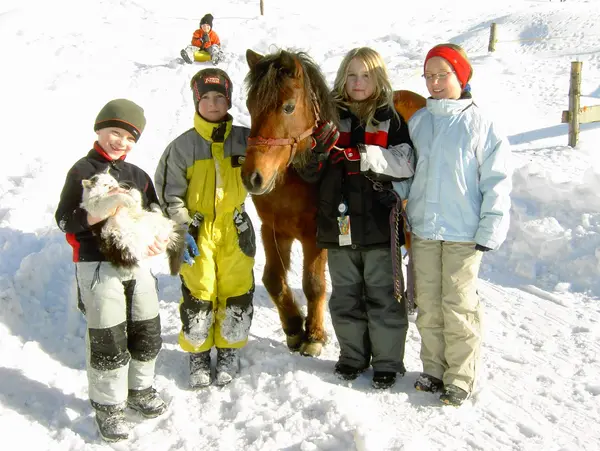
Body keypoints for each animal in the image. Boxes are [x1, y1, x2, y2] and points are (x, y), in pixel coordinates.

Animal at [243, 49, 338, 358]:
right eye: (250, 106)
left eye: (288, 107)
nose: (253, 177)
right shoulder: (274, 231)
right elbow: (273, 279)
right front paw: (295, 327)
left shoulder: (316, 236)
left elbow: (314, 285)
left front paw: (315, 335)